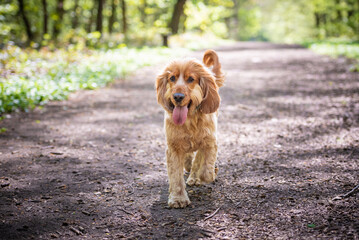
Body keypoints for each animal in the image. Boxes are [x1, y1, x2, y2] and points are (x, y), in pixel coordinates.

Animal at [155, 49, 225, 207]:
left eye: (191, 79)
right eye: (172, 78)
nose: (178, 96)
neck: (189, 120)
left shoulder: (210, 141)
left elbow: (206, 168)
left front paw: (207, 175)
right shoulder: (173, 147)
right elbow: (175, 175)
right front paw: (178, 198)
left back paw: (194, 176)